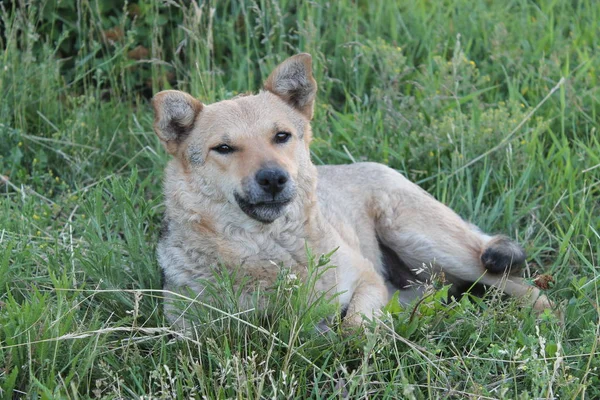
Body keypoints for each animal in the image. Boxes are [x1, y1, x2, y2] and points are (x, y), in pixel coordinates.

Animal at [151, 53, 552, 328]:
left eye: (281, 136)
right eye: (224, 148)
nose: (273, 178)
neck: (268, 249)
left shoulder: (366, 280)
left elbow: (354, 328)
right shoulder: (188, 328)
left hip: (427, 241)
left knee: (516, 282)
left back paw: (545, 318)